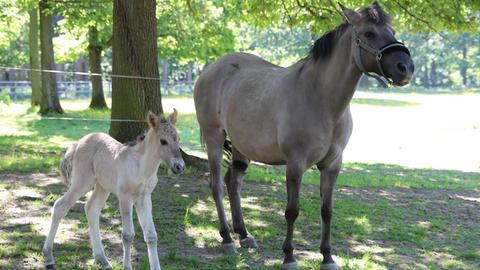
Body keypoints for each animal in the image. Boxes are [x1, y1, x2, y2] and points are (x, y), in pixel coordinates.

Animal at [42, 109, 185, 270]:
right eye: (163, 141)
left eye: (178, 139)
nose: (179, 166)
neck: (141, 166)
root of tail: (77, 143)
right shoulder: (125, 197)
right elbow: (128, 235)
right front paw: (127, 267)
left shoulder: (144, 198)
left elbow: (151, 235)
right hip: (82, 183)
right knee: (60, 206)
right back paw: (49, 259)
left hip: (102, 187)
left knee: (91, 209)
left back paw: (103, 259)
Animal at [193, 2, 414, 270]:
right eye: (369, 33)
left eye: (392, 31)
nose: (405, 68)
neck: (321, 98)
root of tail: (210, 69)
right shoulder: (295, 165)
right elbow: (292, 211)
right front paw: (289, 256)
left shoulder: (332, 165)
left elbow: (327, 211)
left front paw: (327, 257)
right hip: (214, 139)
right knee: (216, 185)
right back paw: (227, 238)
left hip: (240, 147)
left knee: (233, 182)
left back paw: (244, 235)